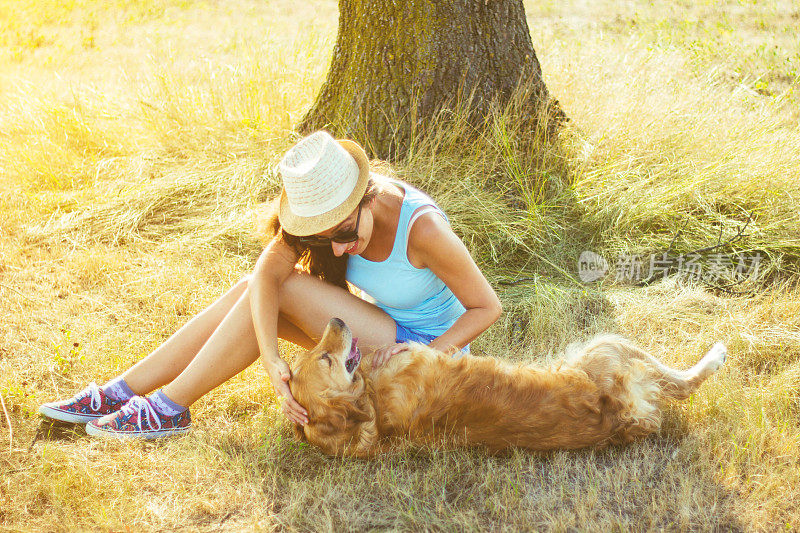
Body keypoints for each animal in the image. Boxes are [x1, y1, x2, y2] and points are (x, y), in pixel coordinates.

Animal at [288, 316, 724, 458]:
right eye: (325, 359)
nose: (336, 319)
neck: (374, 408)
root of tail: (625, 419)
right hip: (607, 345)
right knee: (683, 382)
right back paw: (717, 352)